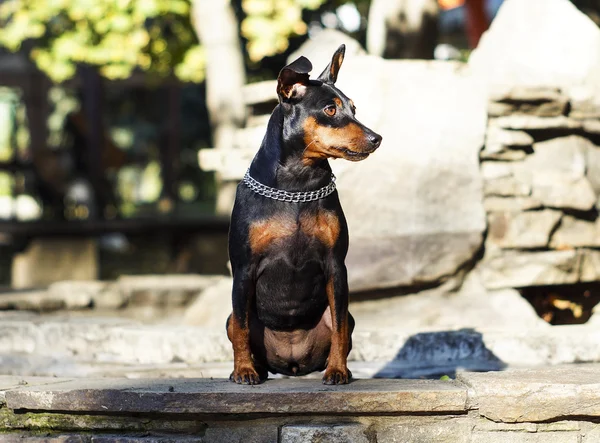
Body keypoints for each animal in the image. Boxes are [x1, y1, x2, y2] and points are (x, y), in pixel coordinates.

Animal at [227, 45, 382, 386]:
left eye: (354, 108)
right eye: (330, 110)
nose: (377, 138)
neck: (297, 187)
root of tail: (292, 364)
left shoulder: (336, 266)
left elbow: (339, 329)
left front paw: (337, 371)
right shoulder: (243, 269)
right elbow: (242, 329)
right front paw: (243, 371)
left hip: (344, 313)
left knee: (341, 325)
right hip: (235, 314)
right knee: (238, 326)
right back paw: (252, 369)